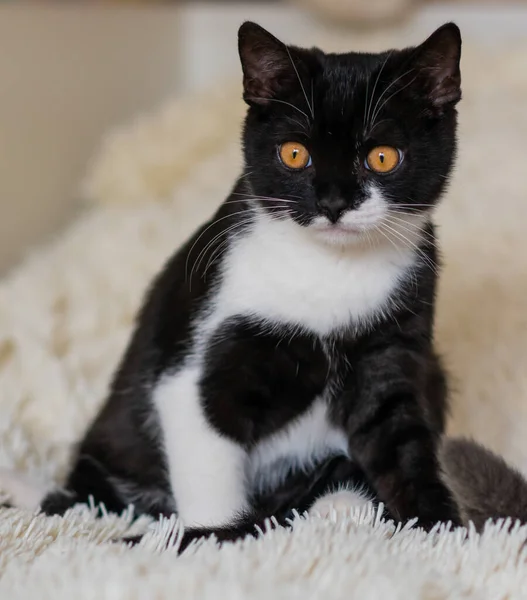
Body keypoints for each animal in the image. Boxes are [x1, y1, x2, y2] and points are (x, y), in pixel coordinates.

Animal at [1, 22, 466, 548]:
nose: (332, 203)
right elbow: (209, 465)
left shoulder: (390, 345)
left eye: (383, 157)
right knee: (88, 500)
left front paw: (445, 530)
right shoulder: (200, 355)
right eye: (294, 154)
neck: (330, 270)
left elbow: (400, 441)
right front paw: (211, 541)